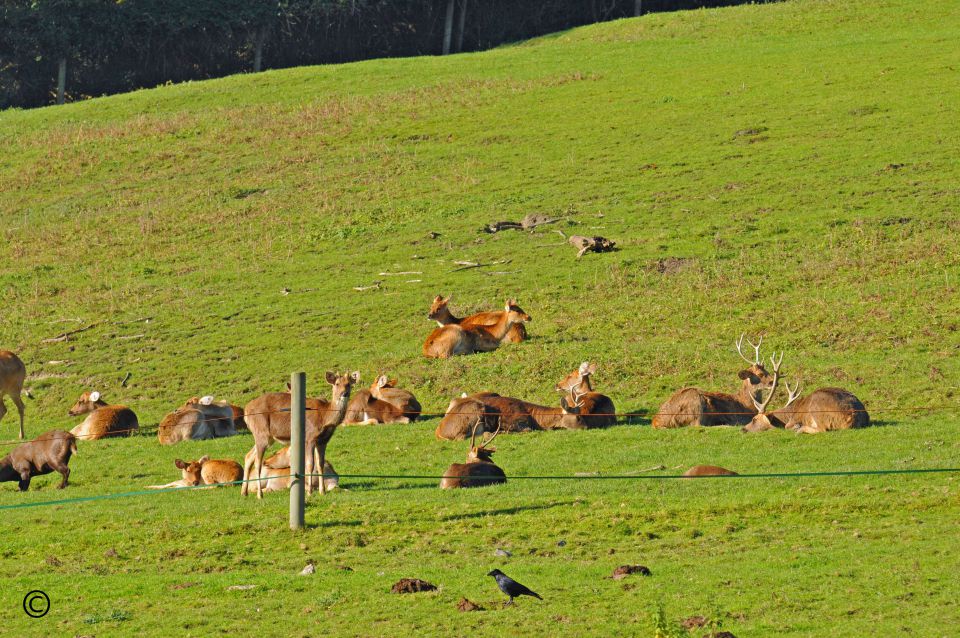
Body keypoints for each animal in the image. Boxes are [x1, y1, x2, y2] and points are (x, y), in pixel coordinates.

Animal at [648, 336, 776, 430]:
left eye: (767, 371)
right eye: (760, 374)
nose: (773, 382)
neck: (747, 405)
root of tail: (656, 421)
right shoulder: (738, 417)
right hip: (696, 402)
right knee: (697, 425)